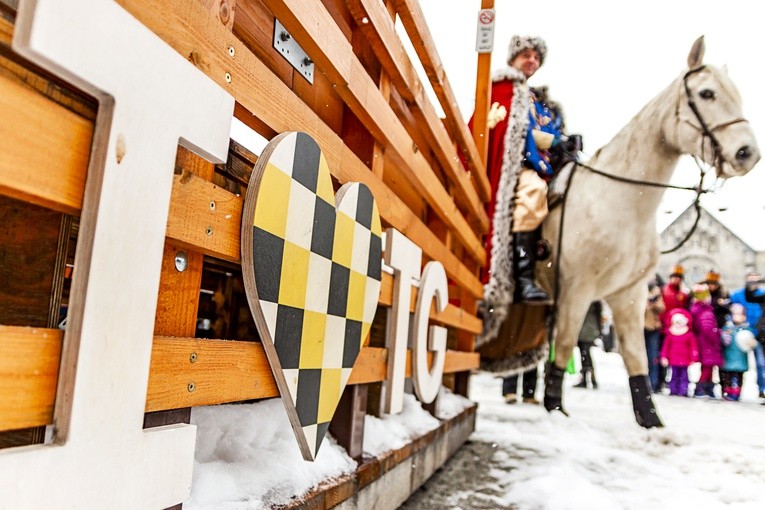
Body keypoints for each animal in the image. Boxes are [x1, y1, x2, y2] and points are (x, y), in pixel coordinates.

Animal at [540, 36, 760, 426]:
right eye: (706, 93)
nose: (748, 153)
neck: (619, 202)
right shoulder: (576, 291)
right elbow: (564, 346)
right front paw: (553, 406)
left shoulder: (629, 294)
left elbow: (637, 358)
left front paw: (651, 420)